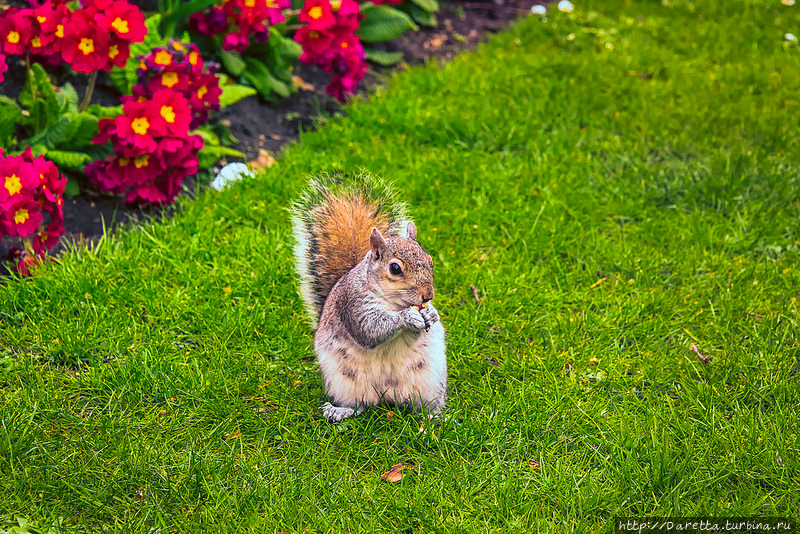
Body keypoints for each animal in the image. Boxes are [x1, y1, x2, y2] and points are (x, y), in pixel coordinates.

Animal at [290, 172, 446, 422]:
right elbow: (369, 329)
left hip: (429, 381)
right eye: (395, 268)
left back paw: (435, 417)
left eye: (430, 260)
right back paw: (339, 410)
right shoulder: (352, 304)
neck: (393, 301)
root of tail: (387, 395)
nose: (428, 294)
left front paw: (432, 314)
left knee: (420, 408)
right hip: (343, 381)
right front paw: (406, 317)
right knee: (359, 406)